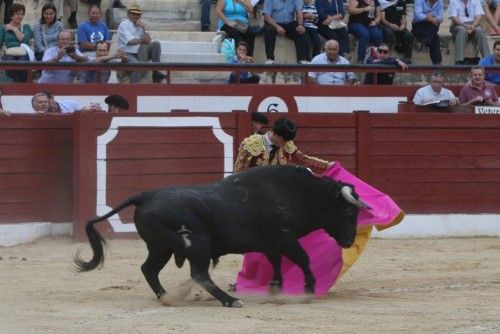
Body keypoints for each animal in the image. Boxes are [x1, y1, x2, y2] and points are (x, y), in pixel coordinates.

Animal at [75, 165, 372, 308]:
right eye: (348, 210)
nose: (348, 241)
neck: (297, 192)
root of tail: (145, 195)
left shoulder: (272, 244)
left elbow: (277, 264)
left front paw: (275, 288)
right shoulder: (285, 238)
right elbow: (303, 258)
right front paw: (309, 289)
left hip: (160, 247)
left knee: (149, 269)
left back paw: (167, 297)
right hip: (197, 245)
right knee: (199, 274)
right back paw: (230, 300)